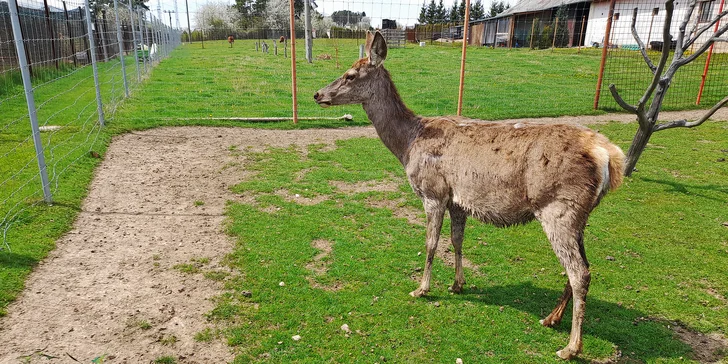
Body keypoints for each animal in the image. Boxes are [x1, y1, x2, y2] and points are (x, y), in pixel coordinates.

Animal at [312, 30, 624, 358]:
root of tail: (608, 156)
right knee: (585, 266)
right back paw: (551, 318)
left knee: (579, 271)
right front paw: (457, 284)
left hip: (559, 208)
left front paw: (421, 288)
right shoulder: (457, 201)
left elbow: (431, 243)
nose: (317, 94)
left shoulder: (433, 192)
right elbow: (456, 240)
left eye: (350, 75)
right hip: (580, 214)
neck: (407, 144)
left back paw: (571, 347)